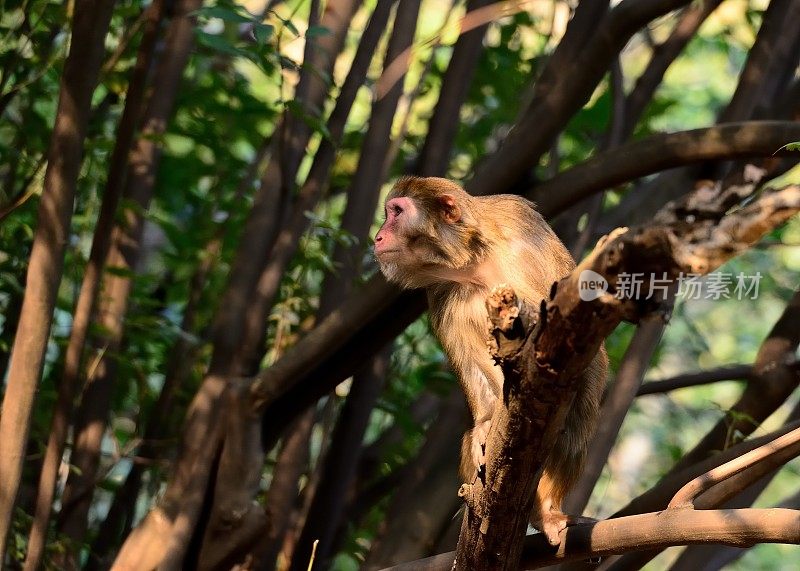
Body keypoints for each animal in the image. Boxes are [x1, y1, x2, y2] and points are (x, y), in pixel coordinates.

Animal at [376, 174, 608, 544]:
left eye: (396, 212)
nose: (378, 236)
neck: (475, 260)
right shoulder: (442, 290)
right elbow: (471, 361)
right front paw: (485, 426)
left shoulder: (521, 230)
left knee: (576, 421)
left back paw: (546, 511)